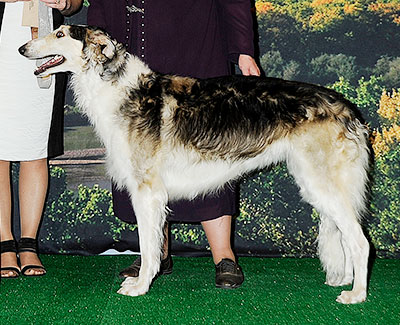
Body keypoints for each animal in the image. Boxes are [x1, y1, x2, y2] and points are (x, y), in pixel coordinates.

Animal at [20, 26, 372, 304]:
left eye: (60, 34)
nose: (22, 48)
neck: (119, 88)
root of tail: (348, 109)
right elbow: (154, 244)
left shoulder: (147, 192)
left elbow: (148, 248)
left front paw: (140, 286)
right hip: (318, 185)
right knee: (347, 236)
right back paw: (345, 280)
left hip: (323, 184)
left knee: (361, 242)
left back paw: (356, 295)